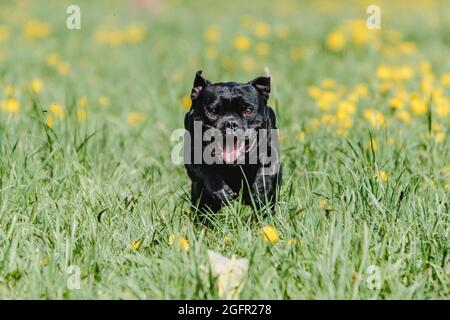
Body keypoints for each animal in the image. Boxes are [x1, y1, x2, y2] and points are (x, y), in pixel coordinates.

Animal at [183, 70, 282, 212]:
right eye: (212, 111)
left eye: (248, 110)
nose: (231, 123)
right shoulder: (192, 156)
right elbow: (204, 170)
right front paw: (221, 191)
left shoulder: (270, 152)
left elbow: (265, 174)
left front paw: (259, 192)